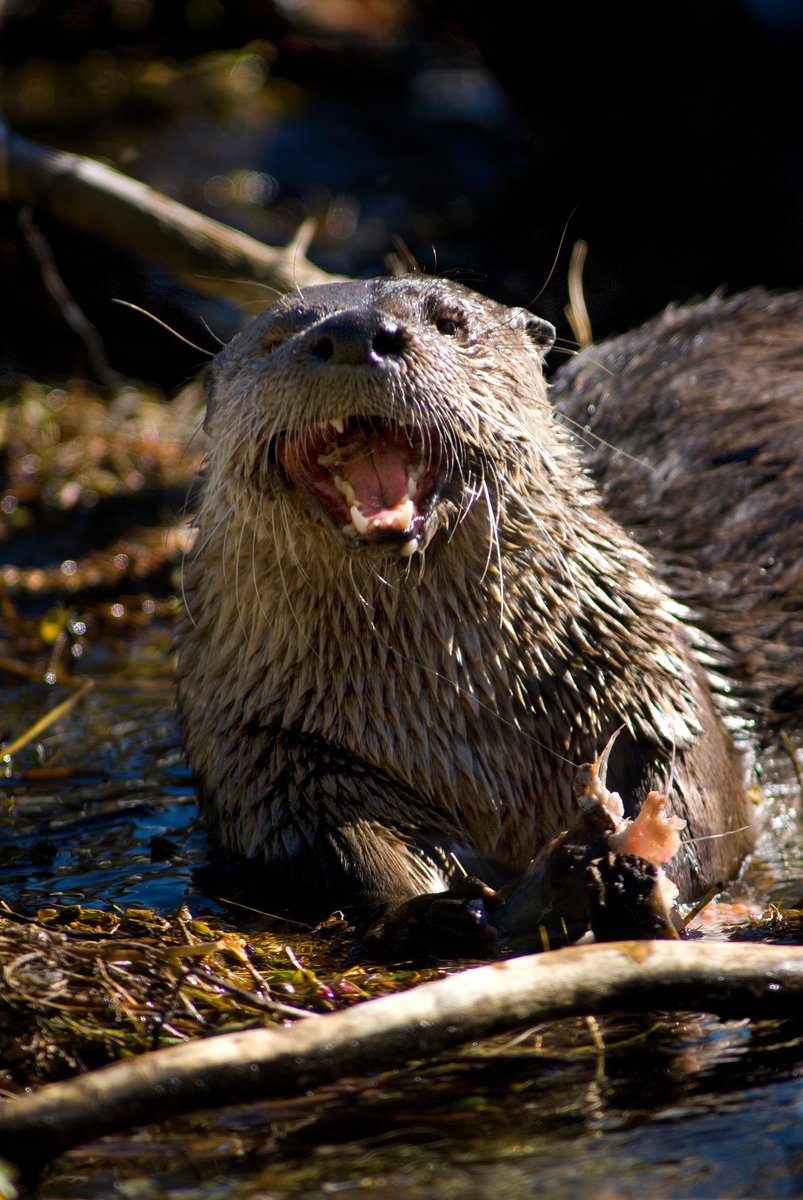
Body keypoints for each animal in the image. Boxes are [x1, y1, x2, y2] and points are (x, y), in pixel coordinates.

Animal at [174, 276, 783, 945]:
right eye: (278, 335)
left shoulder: (648, 669)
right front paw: (446, 909)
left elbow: (702, 798)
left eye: (450, 322)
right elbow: (341, 847)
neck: (462, 711)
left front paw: (643, 865)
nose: (358, 333)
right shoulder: (263, 748)